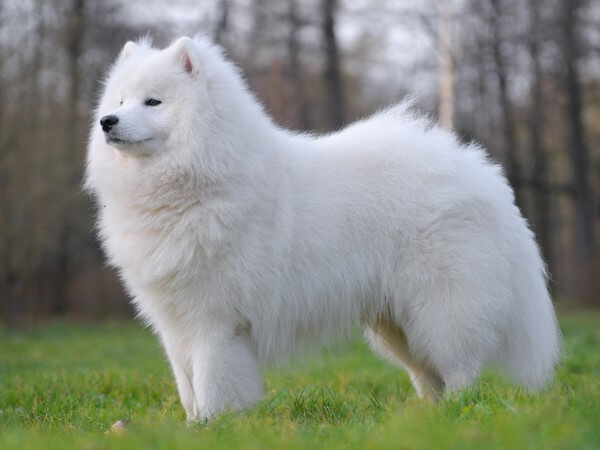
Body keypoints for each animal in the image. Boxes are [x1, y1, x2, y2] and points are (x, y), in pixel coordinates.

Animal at [85, 37, 564, 420]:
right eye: (121, 101)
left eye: (153, 102)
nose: (108, 121)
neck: (200, 179)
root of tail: (487, 178)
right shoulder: (175, 323)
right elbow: (187, 388)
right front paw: (192, 426)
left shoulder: (215, 323)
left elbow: (211, 383)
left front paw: (214, 426)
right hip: (399, 325)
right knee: (430, 376)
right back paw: (429, 418)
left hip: (441, 308)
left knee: (461, 370)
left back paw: (460, 416)